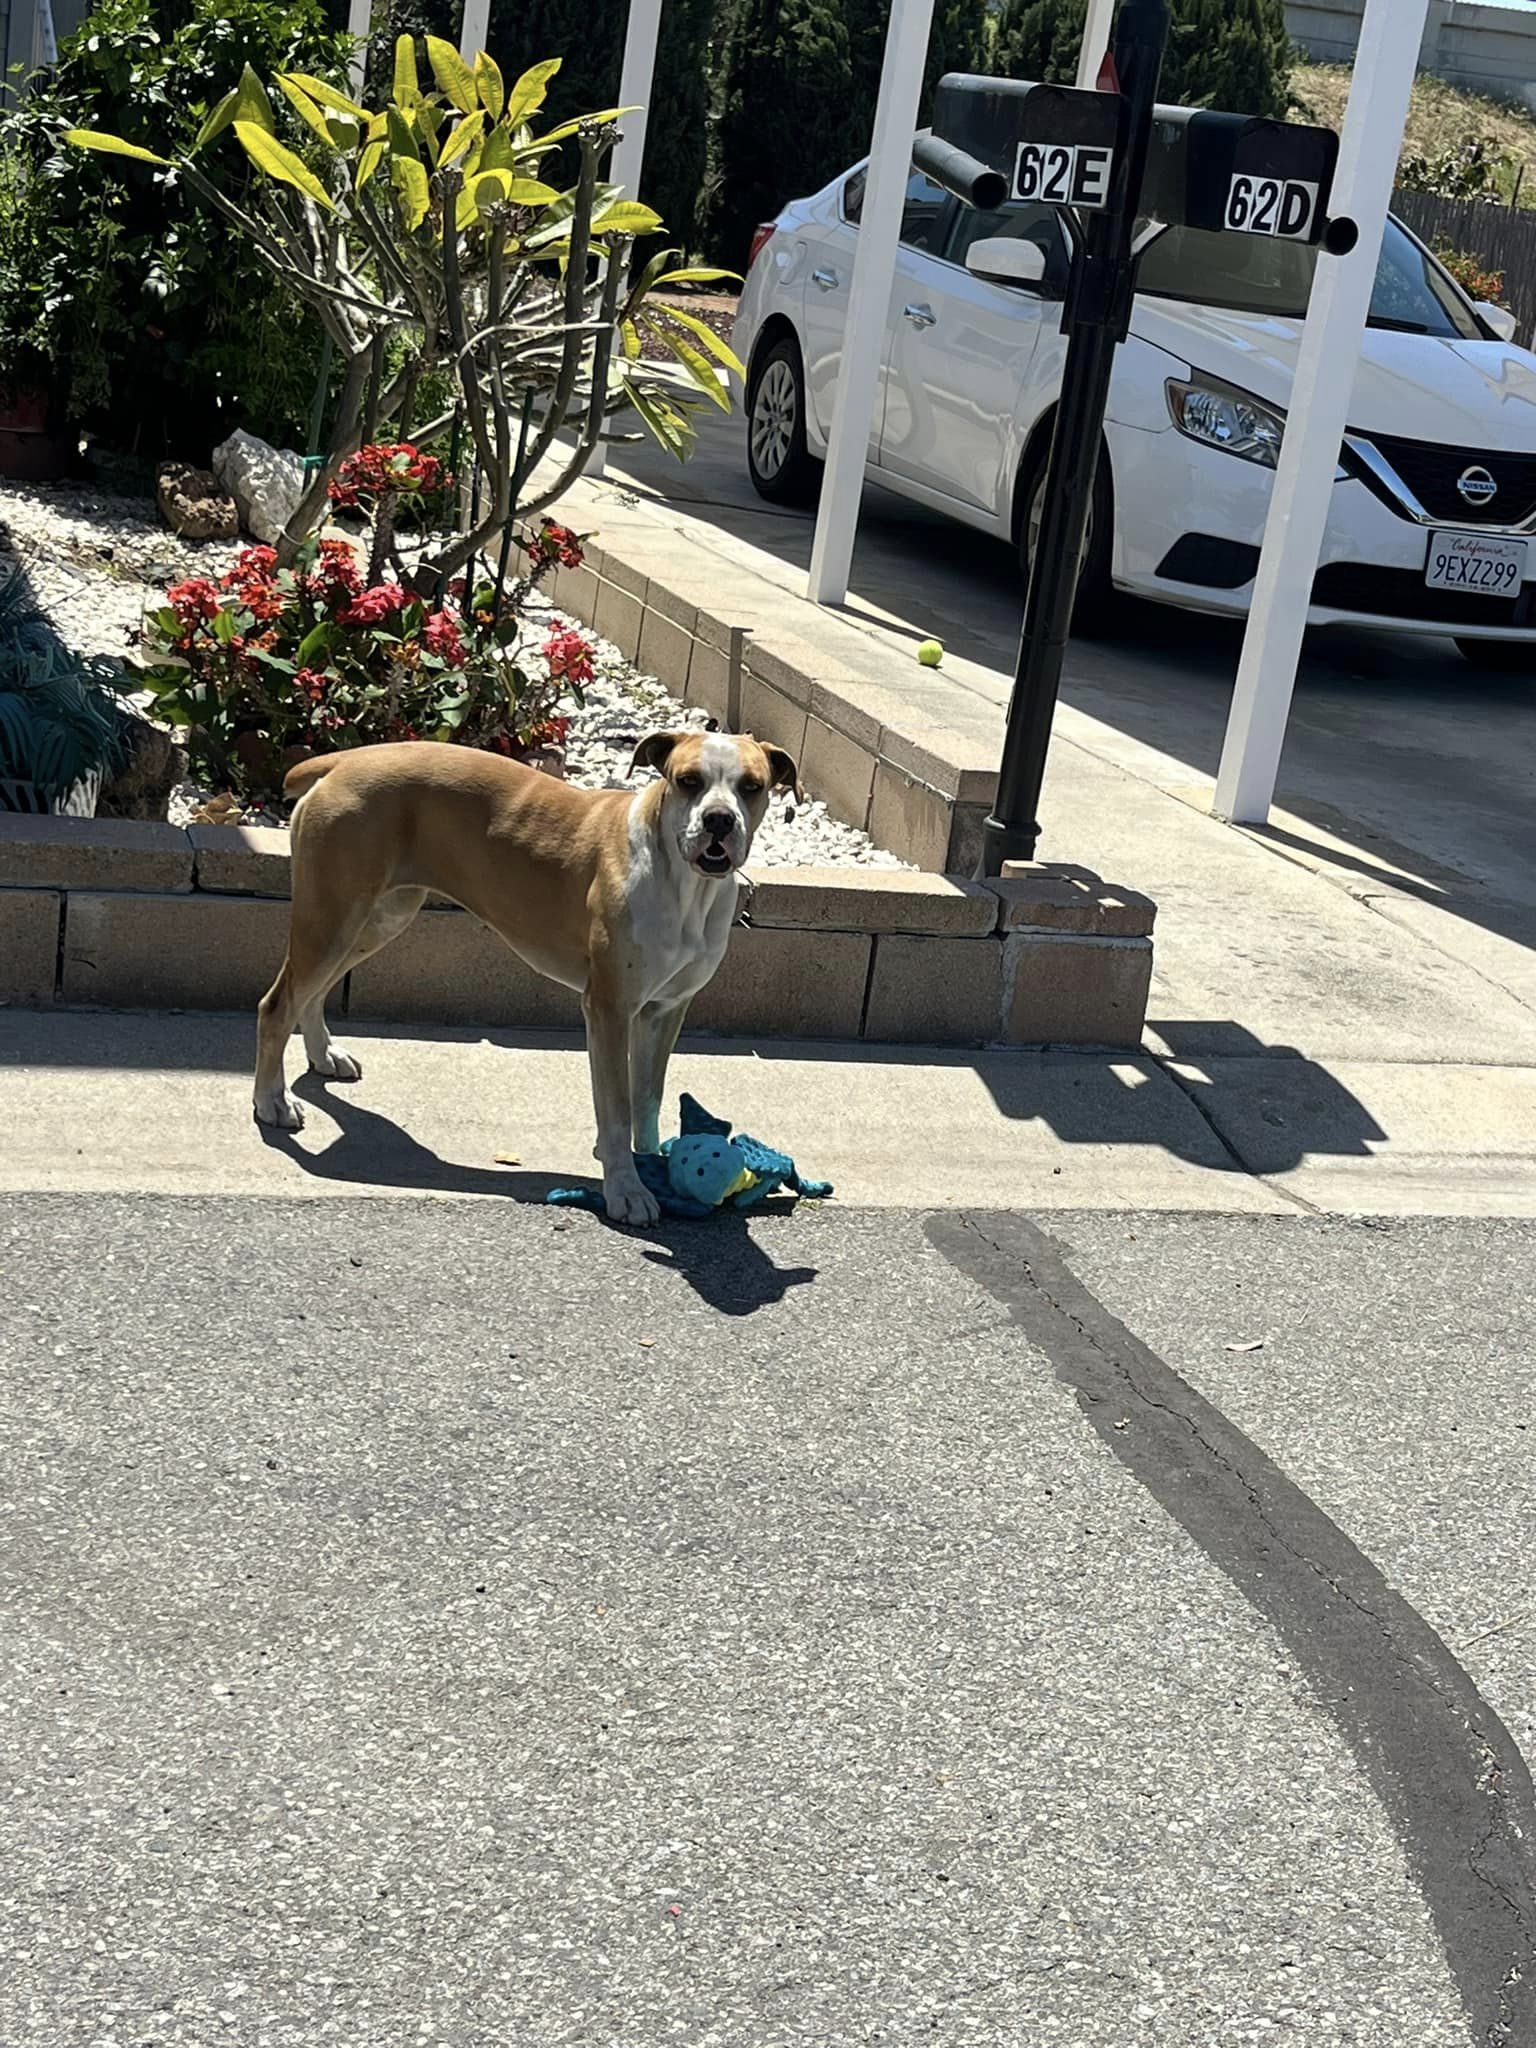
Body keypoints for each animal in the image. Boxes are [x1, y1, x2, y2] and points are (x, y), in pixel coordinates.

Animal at [249, 733, 806, 1220]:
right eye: (689, 780)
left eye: (751, 785)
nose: (719, 819)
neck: (684, 884)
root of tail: (344, 761)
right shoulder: (609, 1009)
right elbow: (617, 1106)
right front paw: (627, 1189)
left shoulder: (665, 1011)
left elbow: (648, 1097)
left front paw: (653, 1164)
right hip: (334, 916)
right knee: (278, 1003)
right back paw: (272, 1101)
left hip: (378, 918)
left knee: (311, 992)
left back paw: (324, 1054)